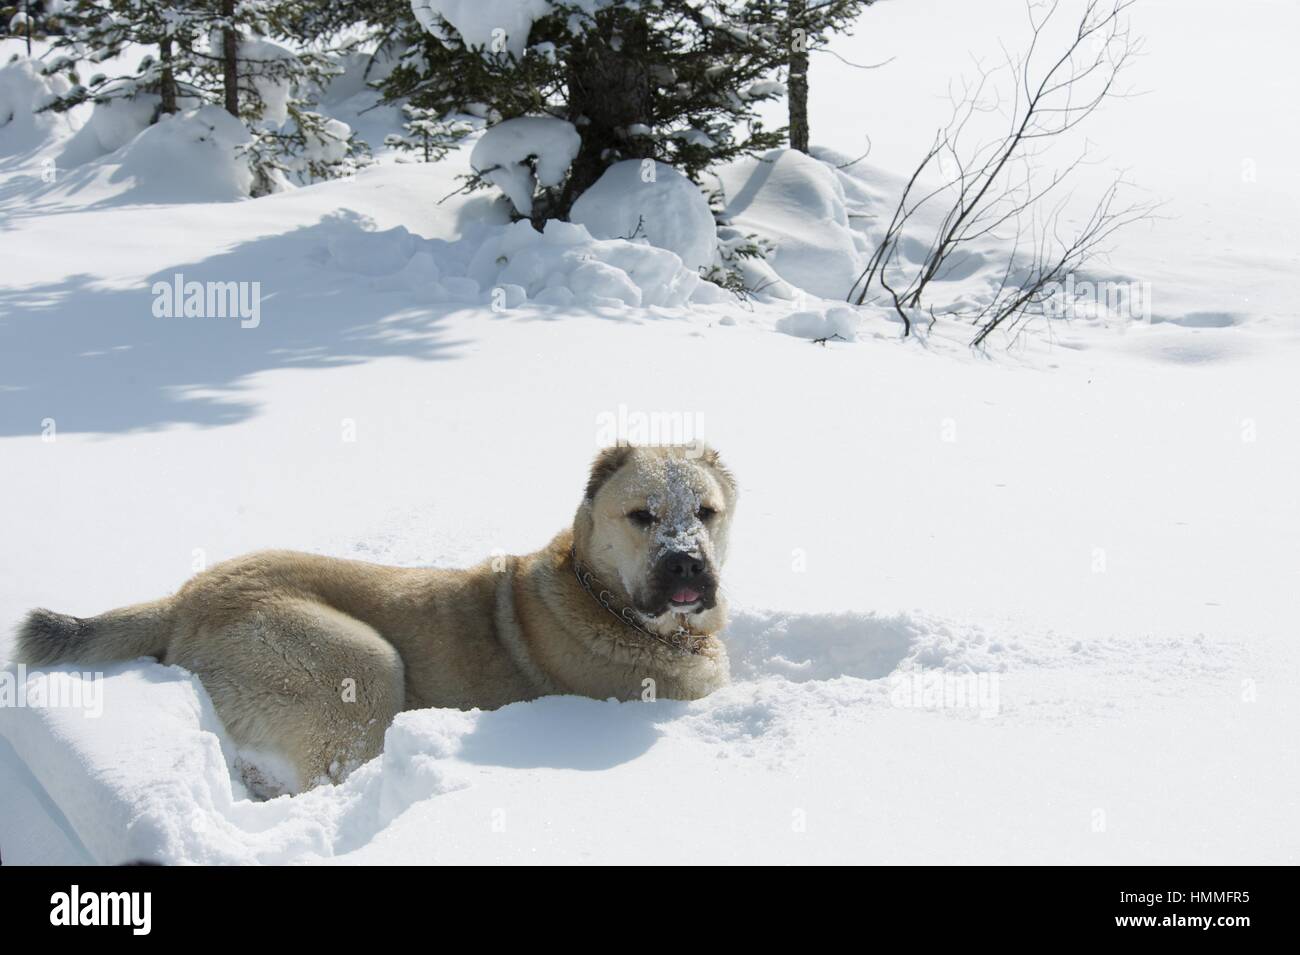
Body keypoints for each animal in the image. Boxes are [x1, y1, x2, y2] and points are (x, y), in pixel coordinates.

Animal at [15, 444, 738, 795]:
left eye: (706, 511)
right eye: (641, 514)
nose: (686, 564)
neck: (602, 594)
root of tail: (186, 597)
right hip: (360, 665)